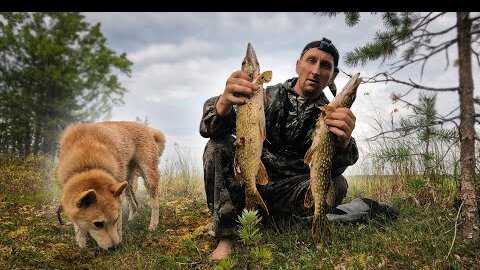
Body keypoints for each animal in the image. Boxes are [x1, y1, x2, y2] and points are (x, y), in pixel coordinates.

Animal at [55, 121, 165, 250]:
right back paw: (131, 221)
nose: (114, 248)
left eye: (116, 219)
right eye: (98, 224)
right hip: (126, 185)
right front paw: (82, 248)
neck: (87, 165)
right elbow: (79, 230)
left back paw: (153, 225)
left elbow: (118, 229)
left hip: (148, 178)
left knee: (155, 203)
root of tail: (147, 129)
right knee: (134, 204)